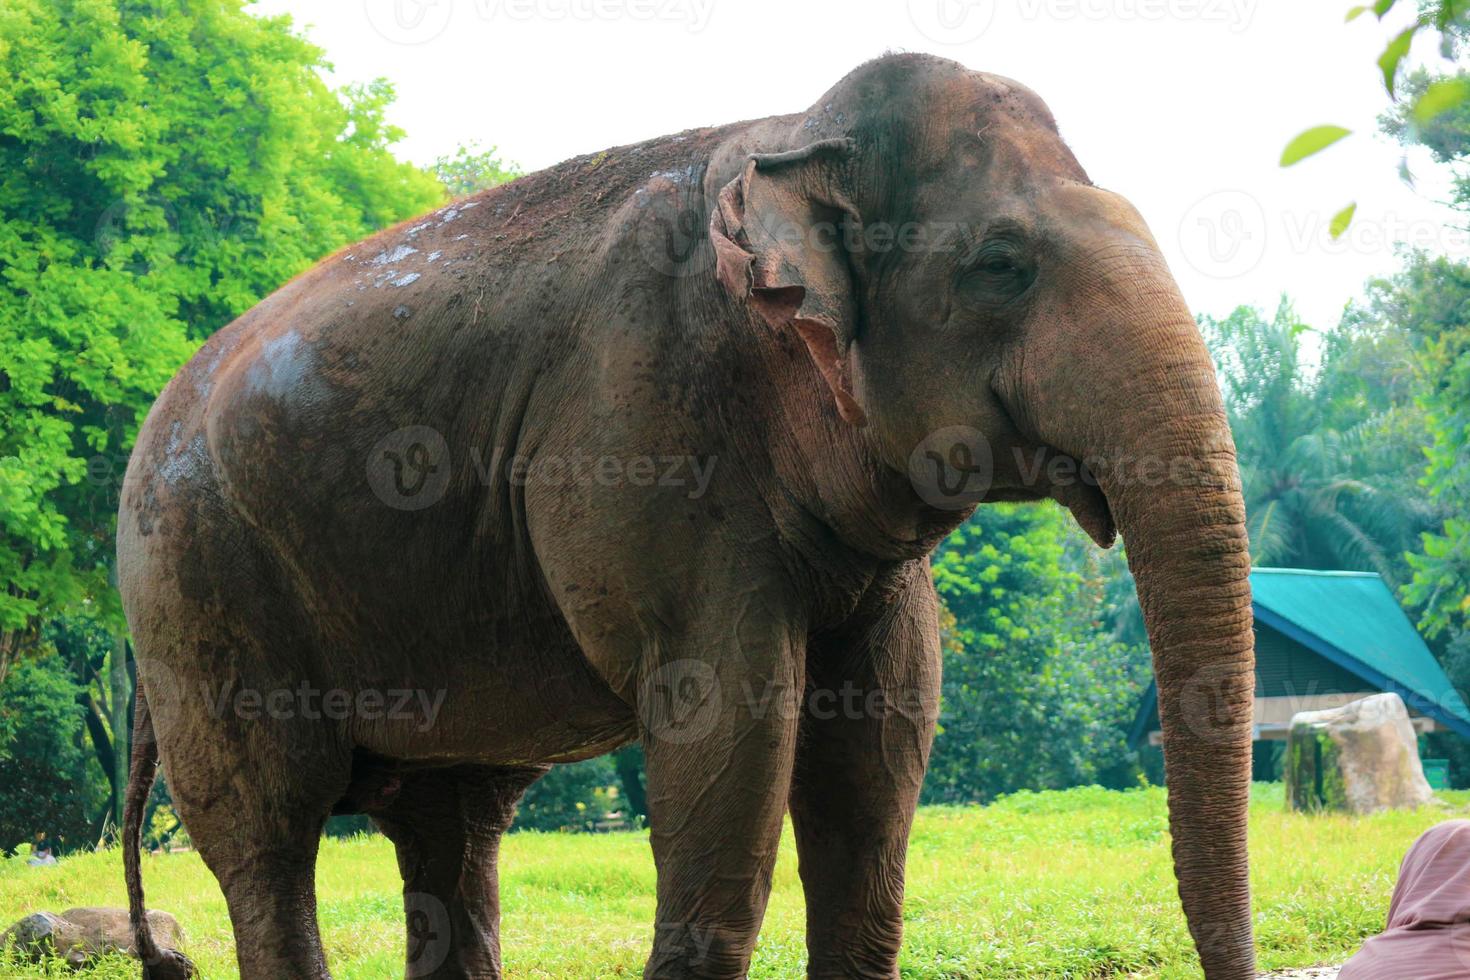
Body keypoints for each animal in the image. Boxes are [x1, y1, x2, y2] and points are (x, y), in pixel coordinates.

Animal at [120, 51, 1258, 980]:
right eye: (1001, 265)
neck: (792, 133)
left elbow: (881, 744)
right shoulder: (643, 428)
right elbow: (728, 733)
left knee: (453, 830)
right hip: (195, 586)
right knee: (270, 833)